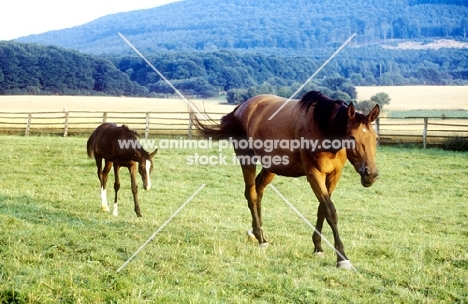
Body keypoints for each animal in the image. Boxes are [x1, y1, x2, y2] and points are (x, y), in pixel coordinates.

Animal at [192, 90, 378, 268]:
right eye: (352, 138)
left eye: (375, 138)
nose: (371, 174)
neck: (322, 126)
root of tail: (240, 108)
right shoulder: (314, 174)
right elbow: (330, 211)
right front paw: (342, 258)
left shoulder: (333, 175)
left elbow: (322, 210)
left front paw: (318, 247)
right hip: (247, 159)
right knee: (251, 194)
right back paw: (261, 239)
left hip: (271, 167)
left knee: (258, 190)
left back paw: (256, 232)